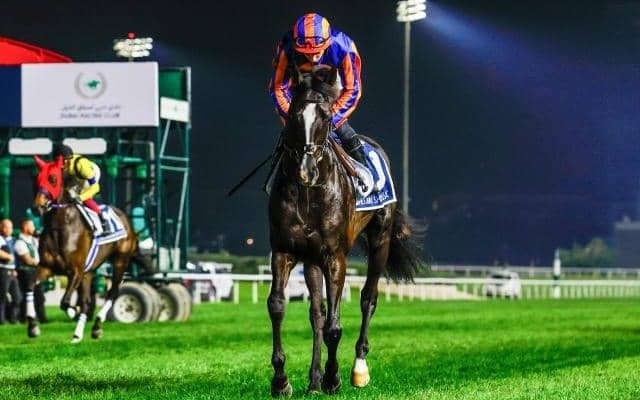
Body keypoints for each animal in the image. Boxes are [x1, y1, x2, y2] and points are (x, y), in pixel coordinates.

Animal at [27, 155, 151, 343]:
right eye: (36, 179)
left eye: (53, 179)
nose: (37, 207)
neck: (60, 228)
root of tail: (127, 220)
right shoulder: (47, 267)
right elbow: (30, 287)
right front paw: (33, 327)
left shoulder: (75, 271)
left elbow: (65, 302)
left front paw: (72, 312)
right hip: (89, 272)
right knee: (86, 302)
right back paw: (77, 335)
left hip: (120, 261)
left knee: (112, 293)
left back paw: (97, 327)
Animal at [267, 66, 424, 396]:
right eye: (293, 114)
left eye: (326, 116)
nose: (306, 170)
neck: (309, 193)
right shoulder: (284, 250)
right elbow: (278, 306)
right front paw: (281, 380)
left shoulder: (335, 257)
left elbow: (335, 326)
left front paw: (333, 378)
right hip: (311, 260)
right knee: (316, 312)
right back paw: (313, 380)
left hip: (380, 239)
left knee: (368, 298)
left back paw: (357, 368)